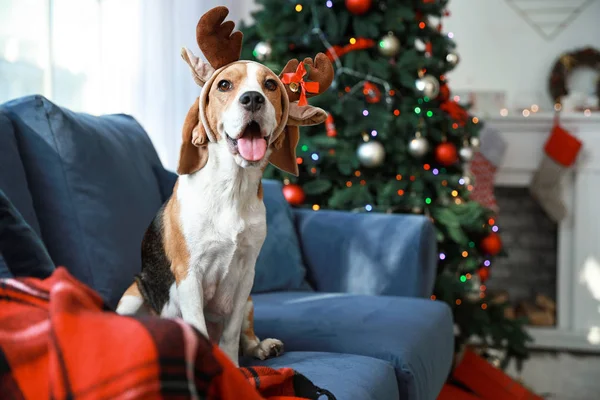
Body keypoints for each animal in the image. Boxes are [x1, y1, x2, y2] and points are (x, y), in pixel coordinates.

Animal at [115, 7, 336, 368]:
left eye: (270, 84)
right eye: (224, 84)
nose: (253, 99)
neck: (232, 187)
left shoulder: (246, 276)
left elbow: (231, 336)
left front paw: (233, 367)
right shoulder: (189, 275)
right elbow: (199, 331)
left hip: (249, 302)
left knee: (246, 335)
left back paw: (263, 347)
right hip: (134, 294)